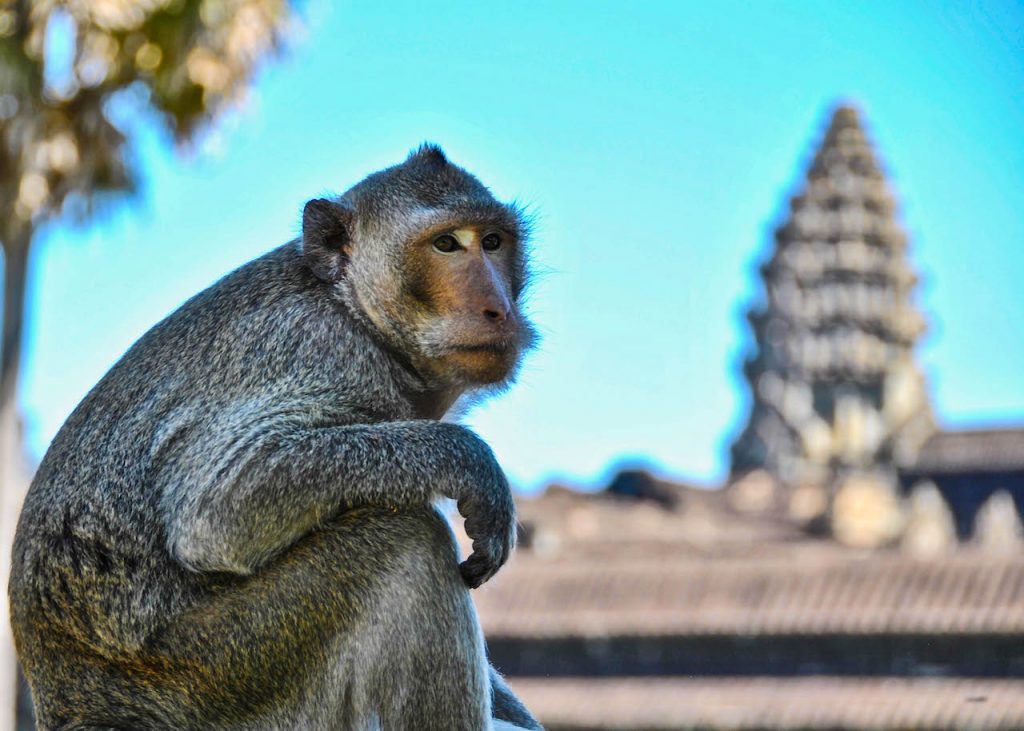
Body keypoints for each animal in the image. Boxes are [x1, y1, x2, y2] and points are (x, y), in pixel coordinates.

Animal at [9, 143, 544, 728]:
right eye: (446, 244)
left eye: (492, 242)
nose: (498, 308)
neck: (353, 311)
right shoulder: (317, 349)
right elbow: (219, 506)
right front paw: (470, 463)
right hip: (220, 677)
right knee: (406, 538)